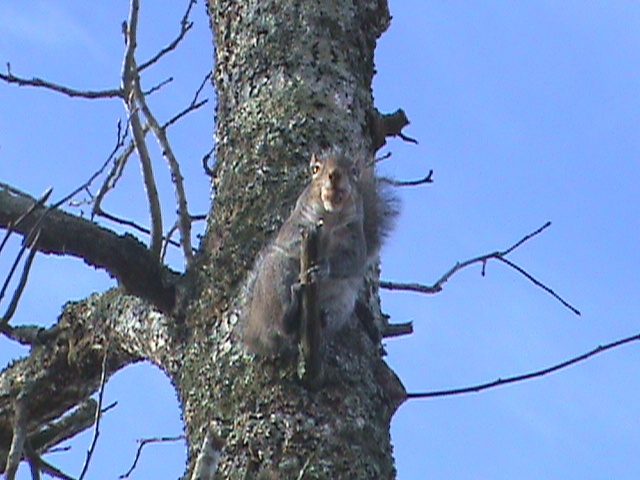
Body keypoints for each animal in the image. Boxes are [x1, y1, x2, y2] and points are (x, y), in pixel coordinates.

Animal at [242, 150, 398, 356]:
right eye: (316, 170)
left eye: (354, 171)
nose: (335, 174)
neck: (331, 218)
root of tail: (255, 331)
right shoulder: (295, 227)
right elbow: (291, 243)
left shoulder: (355, 240)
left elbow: (351, 261)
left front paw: (323, 268)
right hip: (275, 277)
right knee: (281, 325)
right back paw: (290, 310)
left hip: (342, 302)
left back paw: (322, 321)